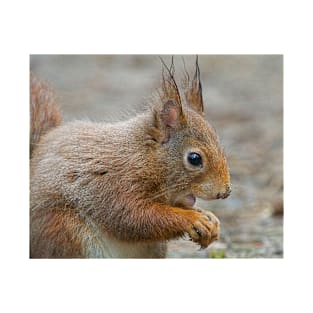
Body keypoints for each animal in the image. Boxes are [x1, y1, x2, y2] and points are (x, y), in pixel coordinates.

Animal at [29, 57, 229, 258]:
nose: (225, 192)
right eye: (195, 158)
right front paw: (193, 218)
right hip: (66, 230)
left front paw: (210, 219)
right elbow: (134, 217)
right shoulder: (116, 183)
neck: (146, 157)